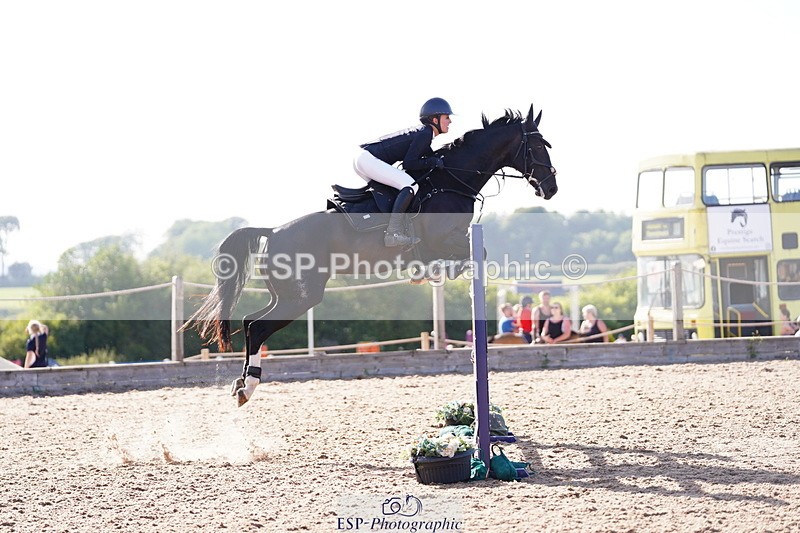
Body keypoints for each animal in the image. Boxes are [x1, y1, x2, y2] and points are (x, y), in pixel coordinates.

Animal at [187, 105, 557, 405]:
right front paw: (439, 271)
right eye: (539, 145)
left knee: (250, 323)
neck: (452, 180)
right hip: (301, 298)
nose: (551, 189)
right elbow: (472, 251)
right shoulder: (442, 239)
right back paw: (248, 387)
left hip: (287, 295)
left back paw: (241, 384)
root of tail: (273, 232)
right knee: (259, 327)